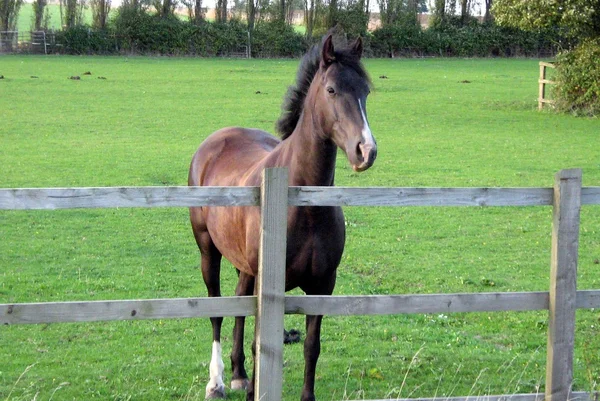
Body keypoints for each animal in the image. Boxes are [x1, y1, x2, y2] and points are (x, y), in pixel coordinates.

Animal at [189, 34, 376, 400]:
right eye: (331, 89)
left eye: (365, 90)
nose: (366, 150)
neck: (304, 205)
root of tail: (215, 141)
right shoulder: (269, 284)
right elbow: (259, 345)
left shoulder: (323, 284)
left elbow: (311, 346)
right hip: (208, 251)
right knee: (217, 310)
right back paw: (217, 382)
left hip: (246, 269)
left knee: (238, 304)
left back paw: (238, 374)